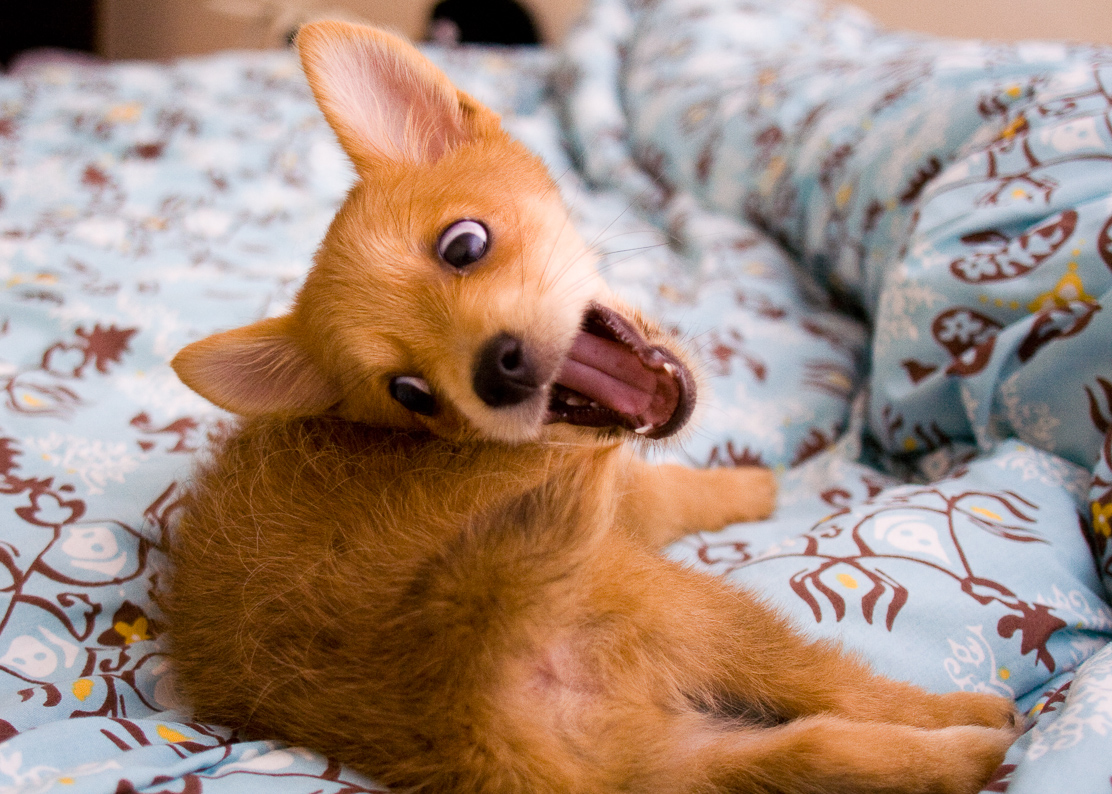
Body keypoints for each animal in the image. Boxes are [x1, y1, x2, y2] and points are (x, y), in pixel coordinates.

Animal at [164, 20, 1020, 794]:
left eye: (464, 245)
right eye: (411, 394)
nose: (497, 372)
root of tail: (459, 686)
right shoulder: (631, 500)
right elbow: (678, 489)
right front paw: (752, 486)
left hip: (677, 766)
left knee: (823, 753)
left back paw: (964, 758)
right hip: (692, 610)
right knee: (837, 690)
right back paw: (977, 717)